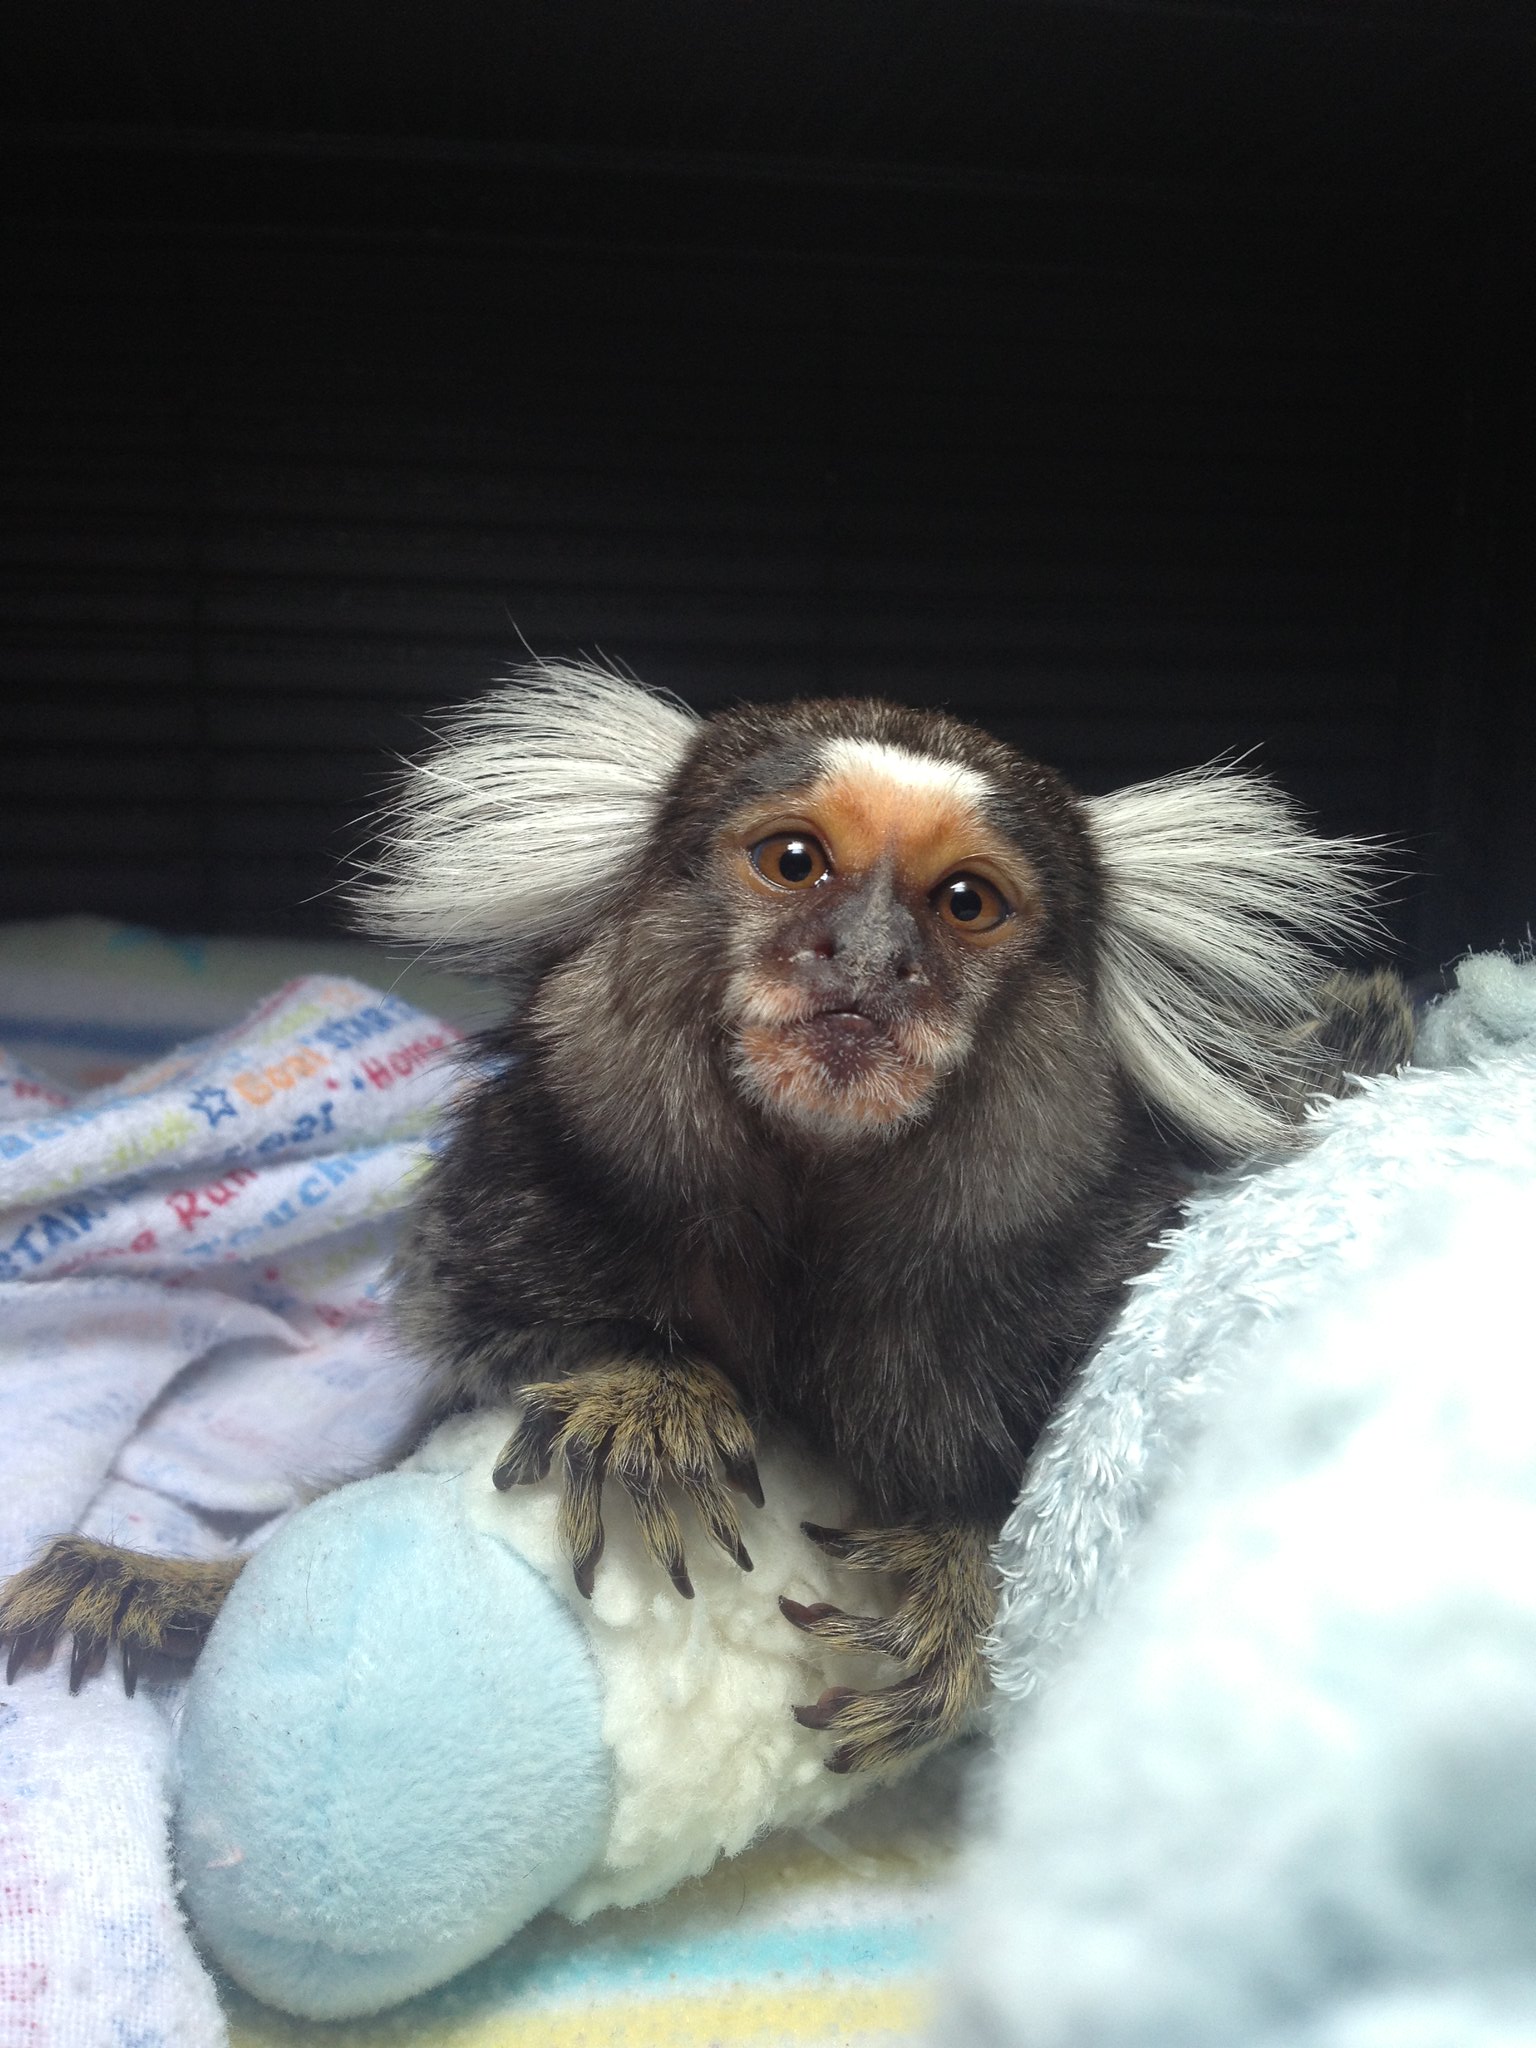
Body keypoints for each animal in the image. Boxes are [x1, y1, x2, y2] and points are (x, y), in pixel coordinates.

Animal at [0, 664, 1415, 1772]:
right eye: (796, 862)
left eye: (965, 903)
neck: (810, 1212)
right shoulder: (521, 1196)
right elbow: (492, 1372)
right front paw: (650, 1398)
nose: (870, 960)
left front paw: (955, 1588)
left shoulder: (1067, 1285)